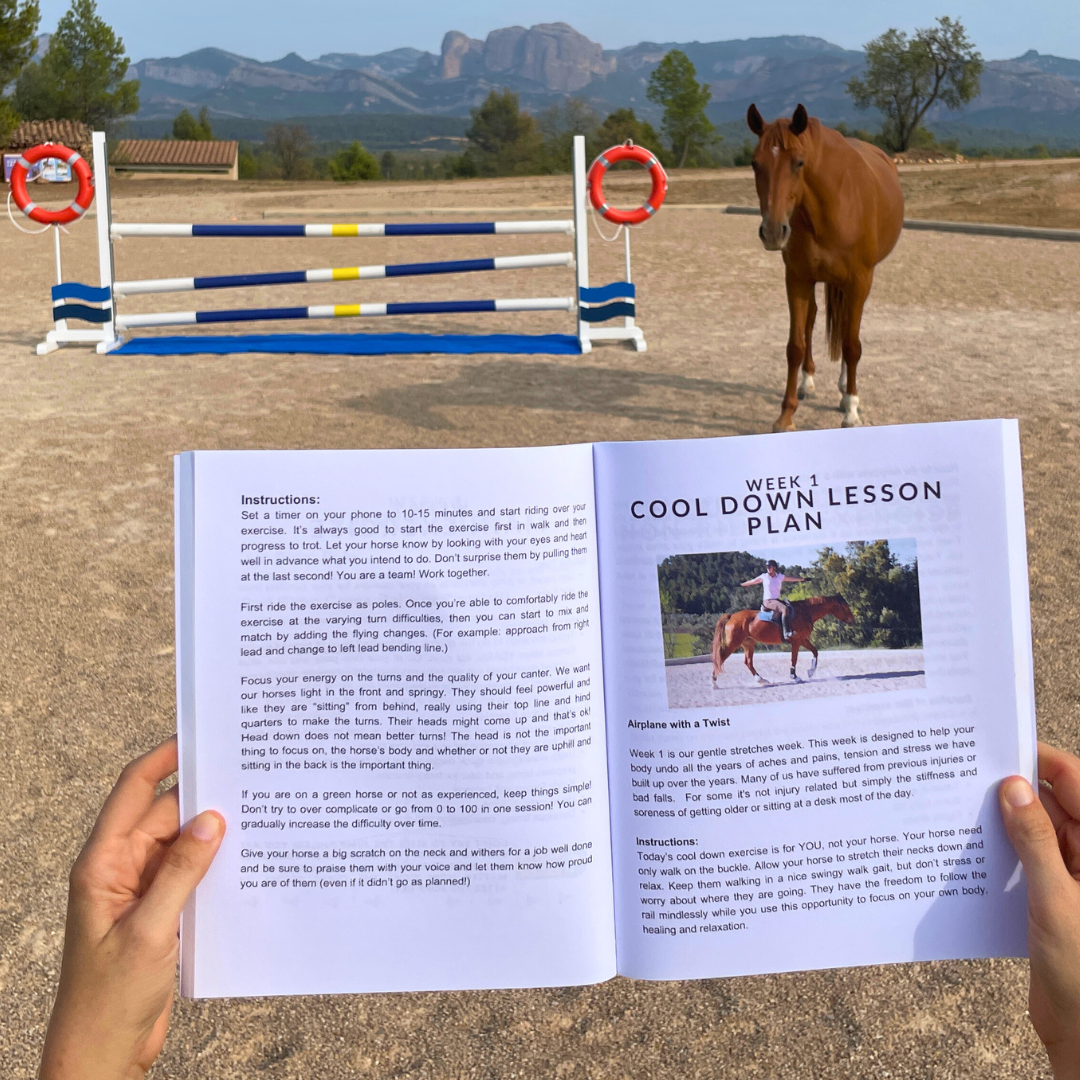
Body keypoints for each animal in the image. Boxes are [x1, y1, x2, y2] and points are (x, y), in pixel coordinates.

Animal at [712, 596, 855, 686]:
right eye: (845, 607)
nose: (852, 620)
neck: (805, 612)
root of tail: (732, 616)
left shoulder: (803, 640)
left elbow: (815, 651)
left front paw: (811, 671)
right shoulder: (796, 642)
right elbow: (794, 659)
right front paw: (795, 677)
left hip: (748, 643)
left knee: (748, 662)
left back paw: (761, 680)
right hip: (733, 644)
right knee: (720, 658)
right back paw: (714, 683)